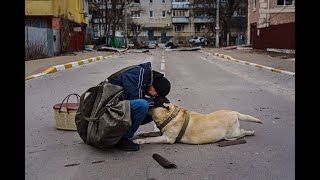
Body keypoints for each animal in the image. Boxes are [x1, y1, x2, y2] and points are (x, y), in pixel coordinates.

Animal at [132, 102, 262, 145]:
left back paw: (250, 132)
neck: (170, 117)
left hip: (232, 133)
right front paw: (142, 133)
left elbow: (150, 139)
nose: (146, 99)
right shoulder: (162, 133)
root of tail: (235, 112)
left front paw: (139, 140)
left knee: (242, 132)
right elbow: (150, 133)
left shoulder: (167, 138)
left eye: (153, 103)